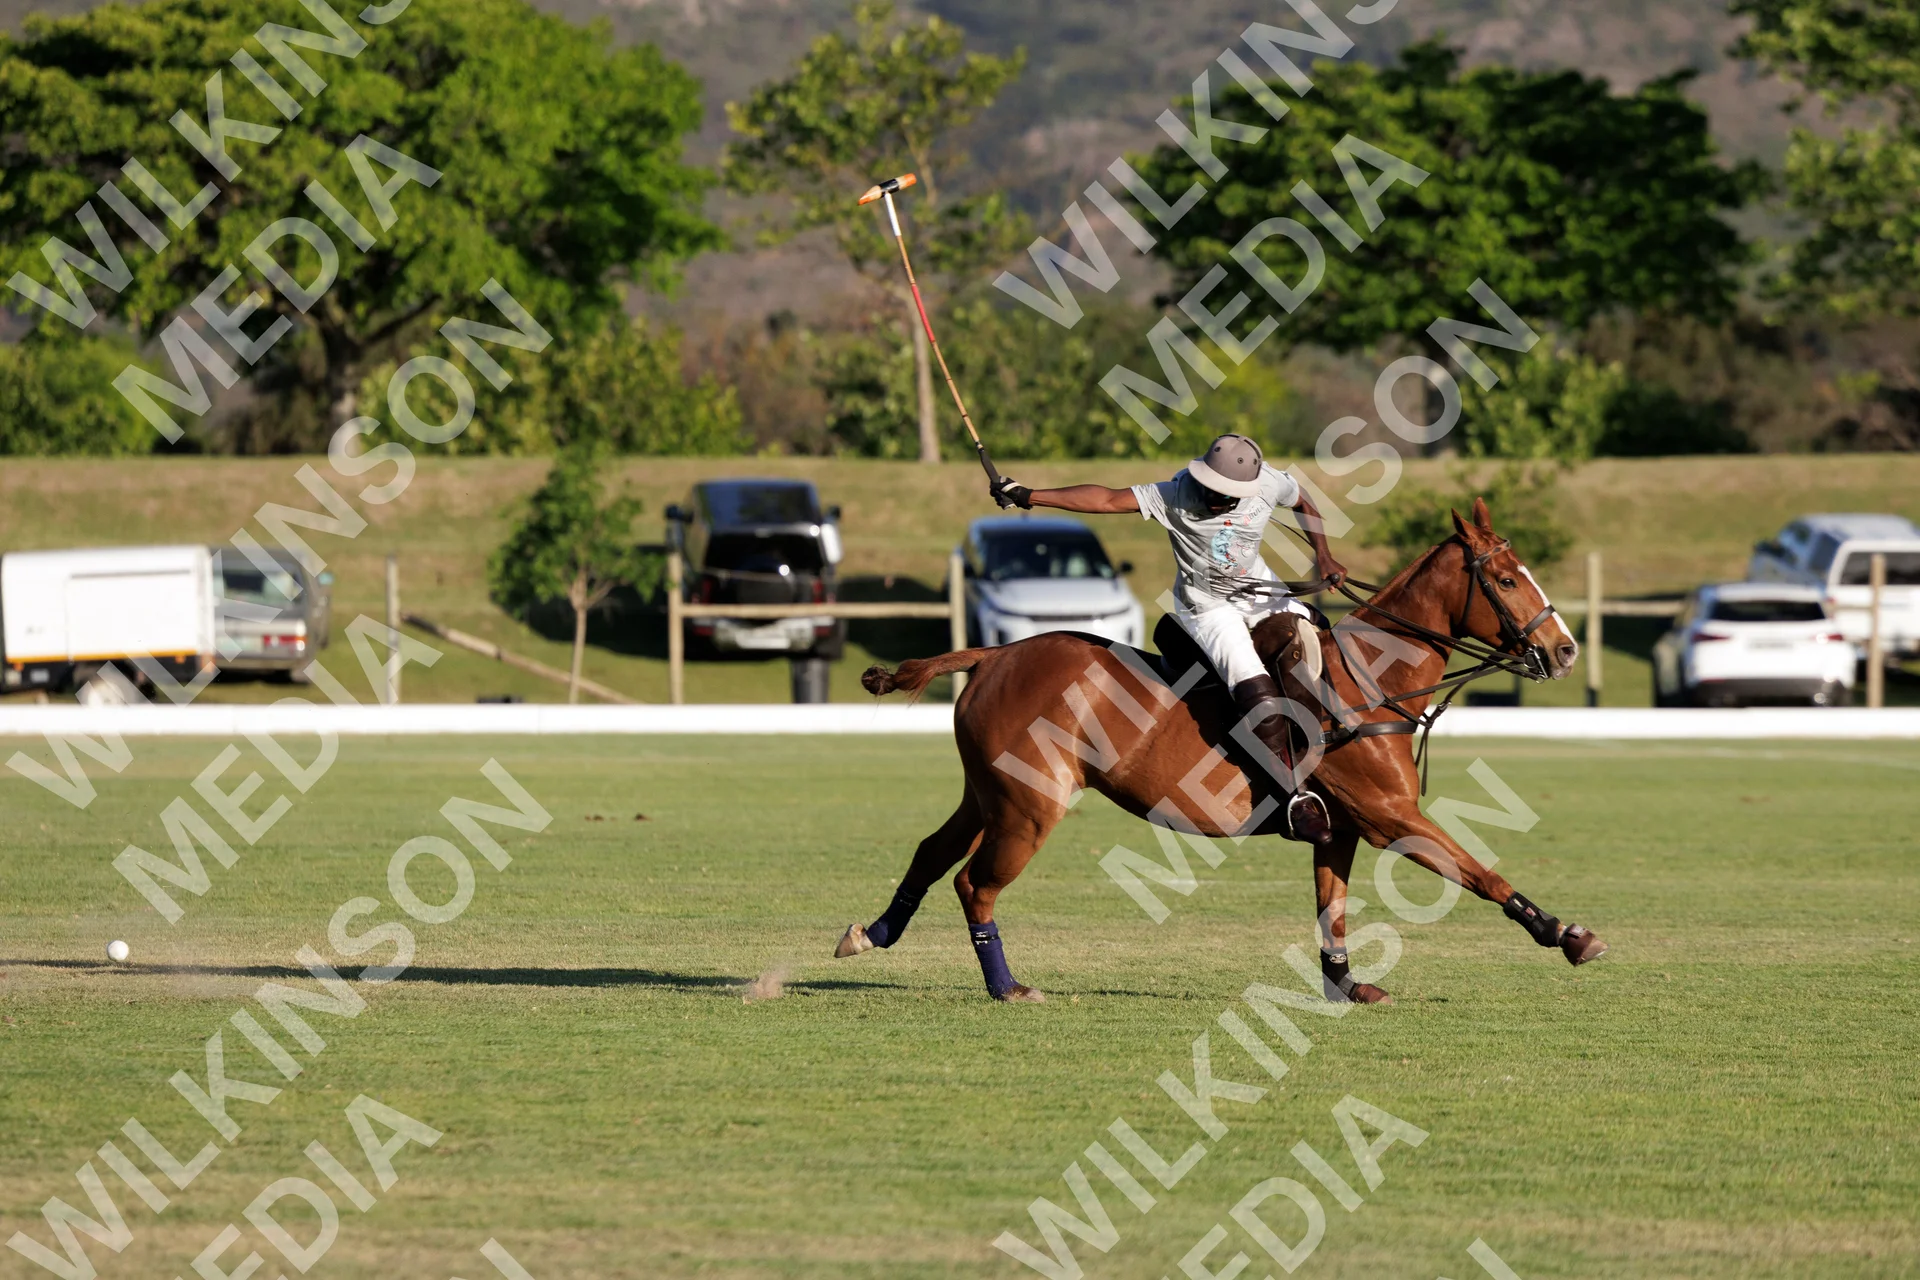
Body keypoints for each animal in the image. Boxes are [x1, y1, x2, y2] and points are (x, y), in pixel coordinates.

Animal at [837, 498, 1608, 1002]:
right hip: (1030, 806)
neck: (1369, 680)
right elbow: (1480, 873)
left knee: (933, 852)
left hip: (989, 793)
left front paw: (1346, 985)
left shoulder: (1341, 829)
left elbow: (1332, 907)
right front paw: (1567, 935)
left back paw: (871, 933)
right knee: (975, 883)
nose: (1565, 649)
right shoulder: (1390, 817)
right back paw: (1007, 987)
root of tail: (993, 654)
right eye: (1504, 579)